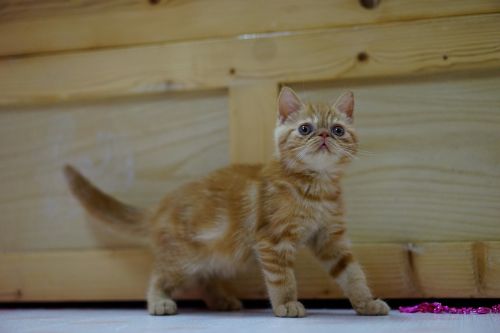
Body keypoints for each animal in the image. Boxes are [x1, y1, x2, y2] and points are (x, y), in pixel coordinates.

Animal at [63, 87, 390, 316]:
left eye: (338, 130)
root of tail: (160, 206)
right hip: (183, 259)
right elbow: (282, 278)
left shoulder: (331, 238)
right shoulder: (271, 241)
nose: (323, 135)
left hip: (215, 255)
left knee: (204, 279)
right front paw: (286, 305)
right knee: (159, 274)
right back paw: (159, 301)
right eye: (304, 128)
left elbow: (352, 273)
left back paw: (221, 299)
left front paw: (366, 303)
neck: (316, 188)